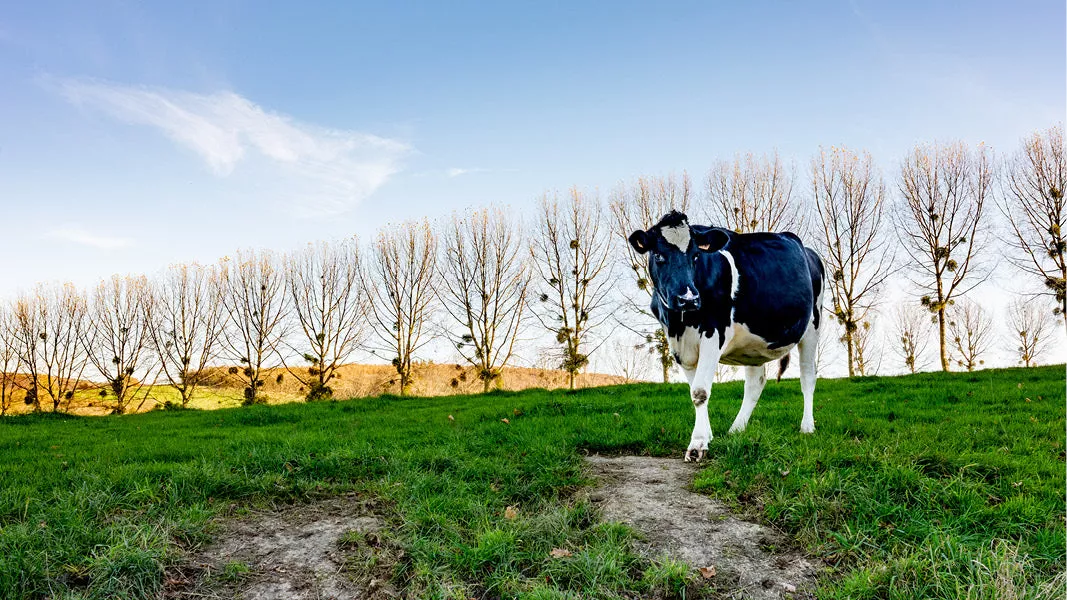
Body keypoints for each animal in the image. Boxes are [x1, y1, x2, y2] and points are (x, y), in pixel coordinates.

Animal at [628, 211, 825, 462]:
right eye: (659, 255)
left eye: (696, 256)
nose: (688, 299)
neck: (679, 323)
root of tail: (808, 251)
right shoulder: (678, 346)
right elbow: (695, 390)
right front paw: (707, 435)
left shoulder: (713, 333)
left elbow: (700, 391)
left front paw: (697, 444)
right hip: (753, 346)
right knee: (755, 383)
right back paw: (737, 429)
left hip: (812, 327)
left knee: (808, 376)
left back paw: (807, 427)